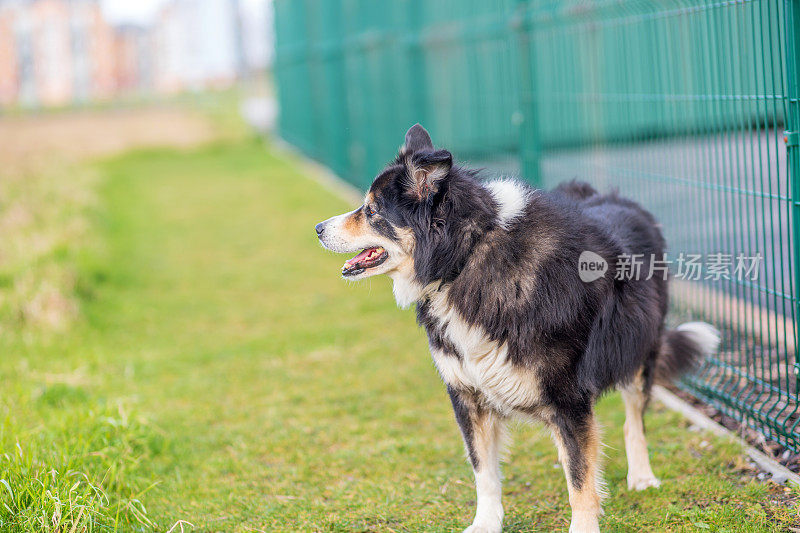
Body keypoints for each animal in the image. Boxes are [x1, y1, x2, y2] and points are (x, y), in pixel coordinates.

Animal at [312, 124, 720, 532]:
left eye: (372, 211)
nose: (317, 228)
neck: (465, 258)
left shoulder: (568, 396)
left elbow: (581, 478)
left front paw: (584, 524)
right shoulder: (467, 393)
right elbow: (484, 470)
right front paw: (486, 522)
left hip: (638, 348)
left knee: (633, 418)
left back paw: (642, 476)